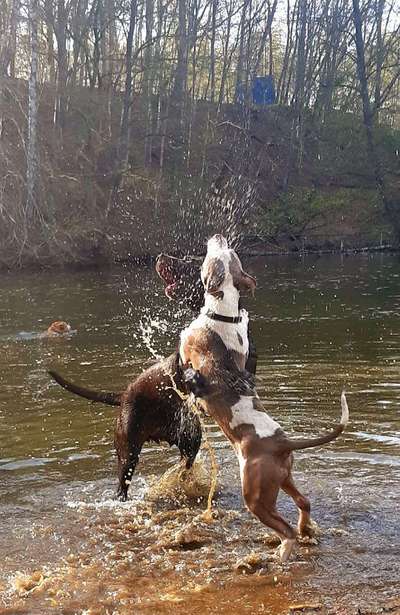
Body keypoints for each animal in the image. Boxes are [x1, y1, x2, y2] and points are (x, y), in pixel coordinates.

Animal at [180, 236, 348, 564]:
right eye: (232, 255)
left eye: (222, 256)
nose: (219, 237)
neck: (223, 312)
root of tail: (282, 442)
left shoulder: (185, 351)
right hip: (283, 479)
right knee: (304, 502)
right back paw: (306, 531)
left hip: (256, 496)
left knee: (285, 529)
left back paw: (283, 551)